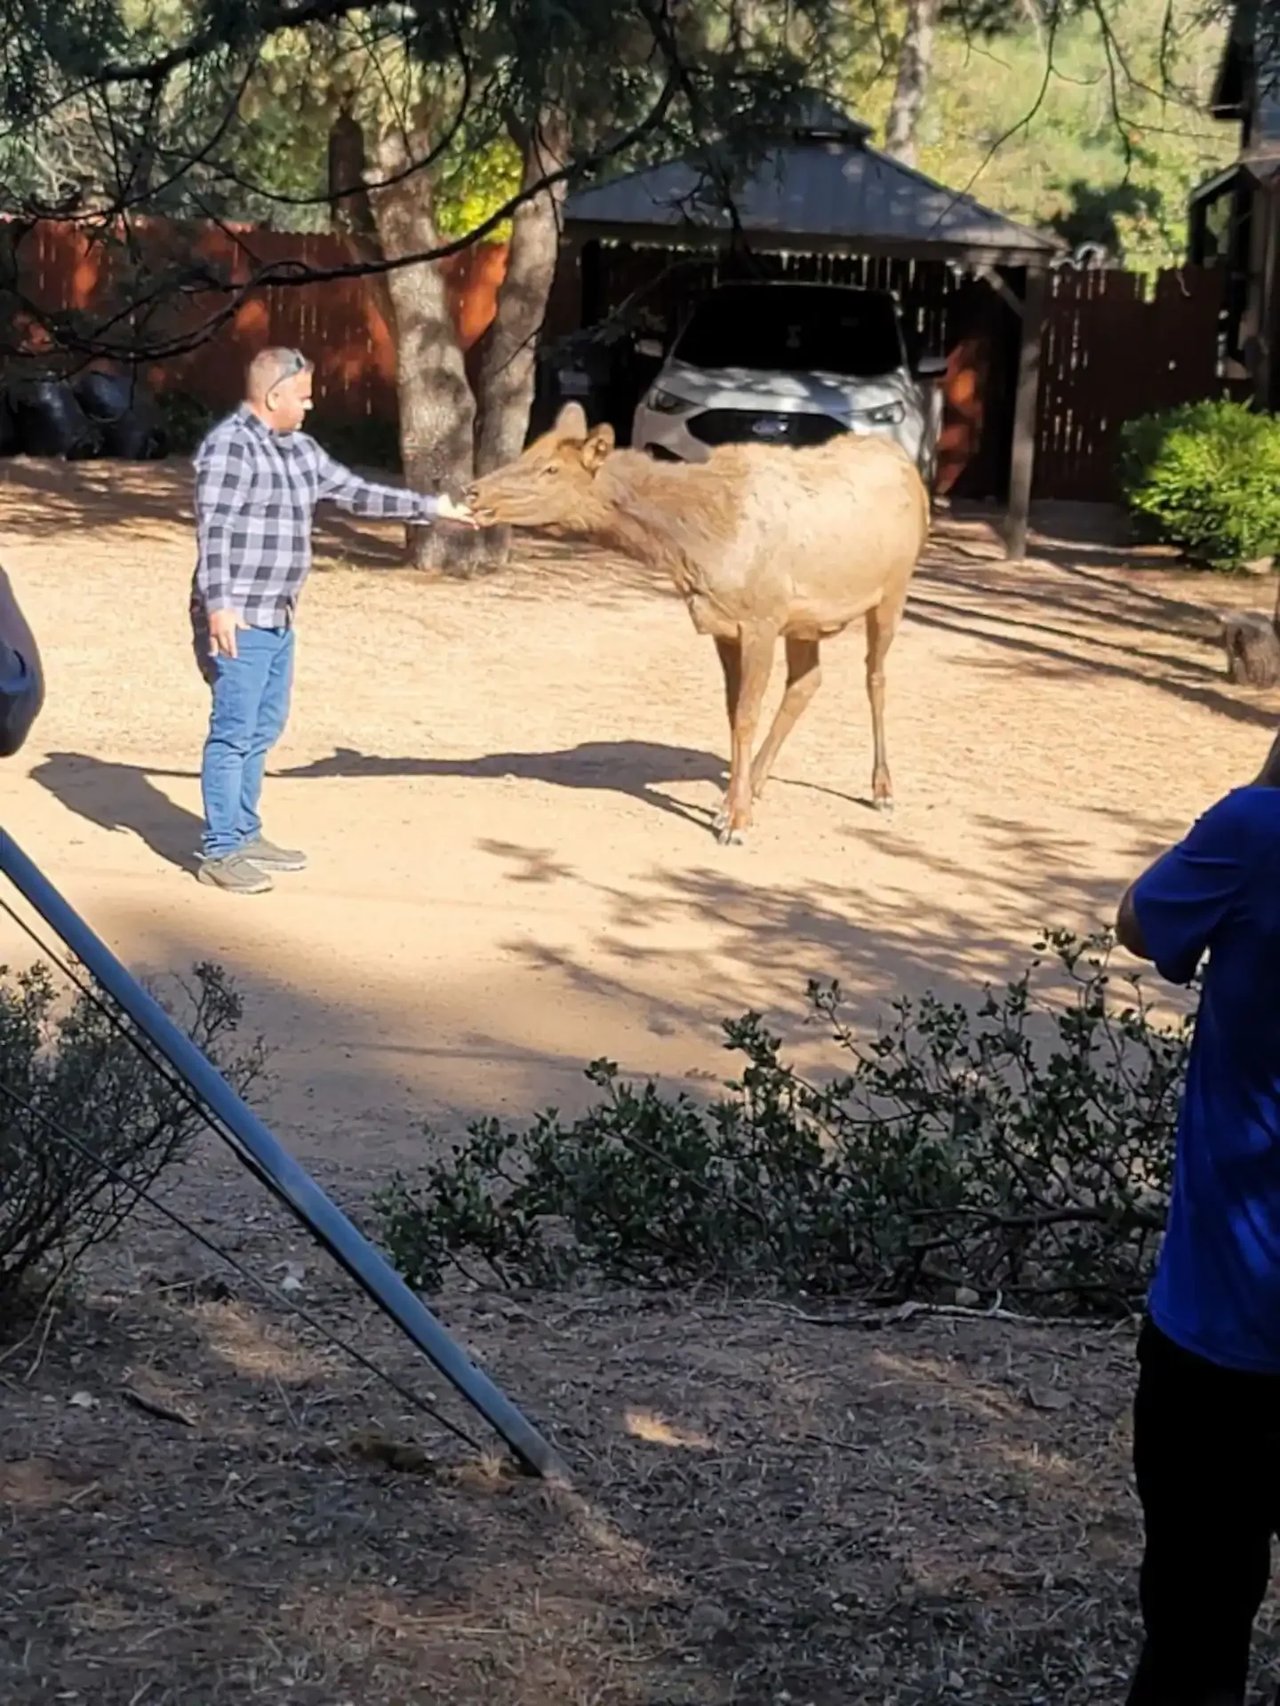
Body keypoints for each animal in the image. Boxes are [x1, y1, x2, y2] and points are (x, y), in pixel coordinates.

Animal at [471, 407, 935, 846]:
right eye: (528, 451)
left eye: (551, 469)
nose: (473, 491)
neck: (696, 547)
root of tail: (912, 472)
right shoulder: (725, 626)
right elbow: (732, 713)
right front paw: (732, 804)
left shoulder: (762, 619)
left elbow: (747, 715)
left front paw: (737, 822)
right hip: (807, 621)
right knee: (808, 681)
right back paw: (758, 781)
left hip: (894, 590)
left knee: (875, 678)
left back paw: (882, 790)